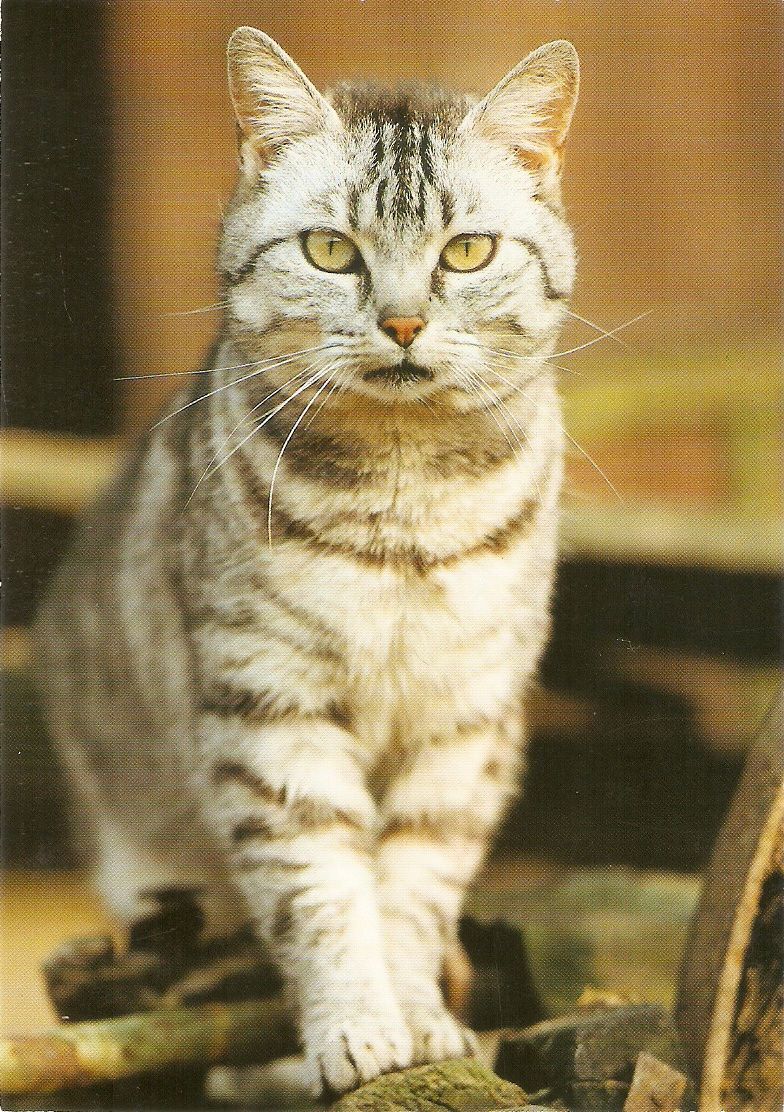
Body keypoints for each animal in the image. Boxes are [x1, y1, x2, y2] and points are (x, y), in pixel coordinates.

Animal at [35, 26, 579, 1096]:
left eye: (467, 251)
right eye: (331, 251)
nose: (403, 322)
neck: (407, 499)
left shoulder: (463, 722)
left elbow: (410, 891)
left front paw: (420, 1025)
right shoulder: (269, 708)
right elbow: (323, 892)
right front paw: (355, 1031)